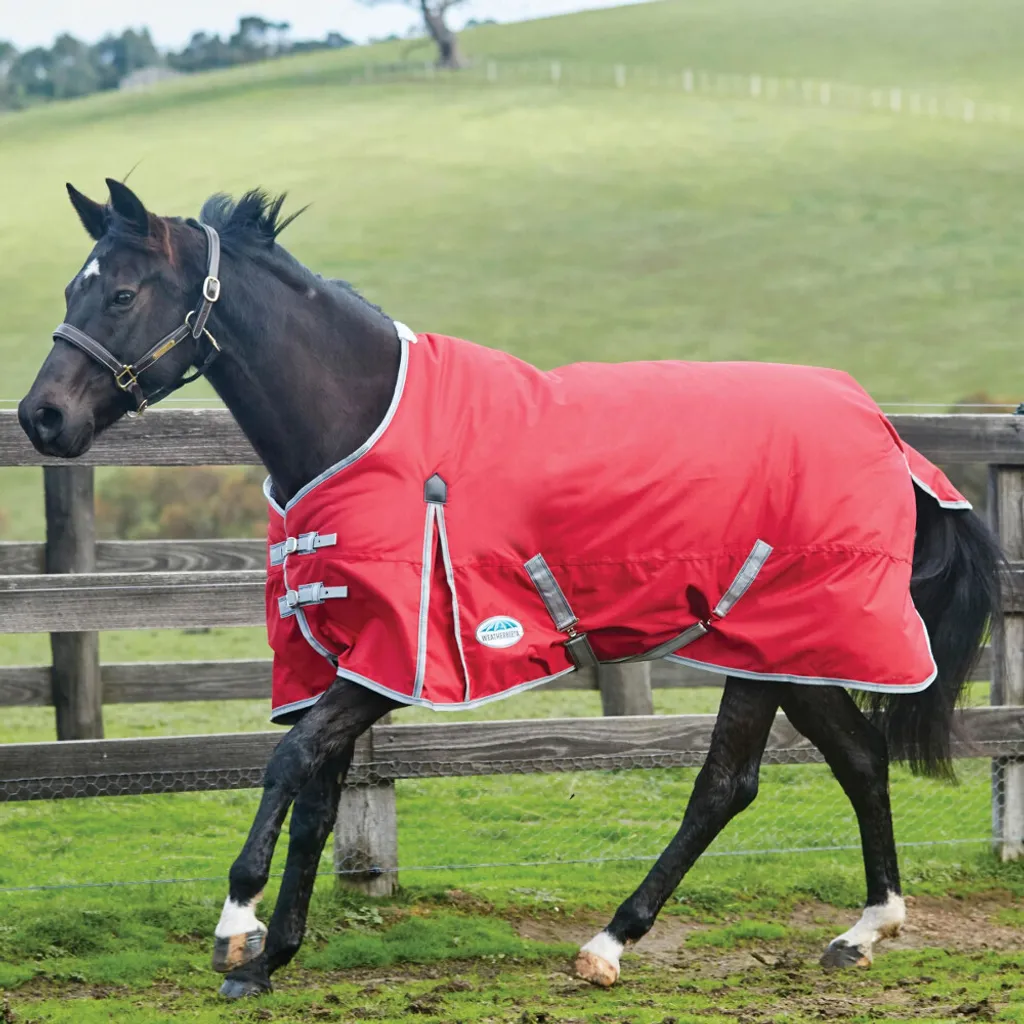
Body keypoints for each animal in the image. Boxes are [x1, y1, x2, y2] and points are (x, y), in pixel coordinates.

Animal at [19, 179, 1002, 999]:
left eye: (120, 294)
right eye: (70, 290)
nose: (42, 417)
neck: (364, 428)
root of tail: (889, 437)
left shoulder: (392, 664)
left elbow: (290, 764)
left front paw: (238, 928)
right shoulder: (340, 656)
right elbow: (319, 797)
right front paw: (272, 959)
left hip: (770, 646)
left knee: (727, 785)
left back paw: (610, 944)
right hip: (788, 650)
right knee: (857, 758)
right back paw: (863, 930)